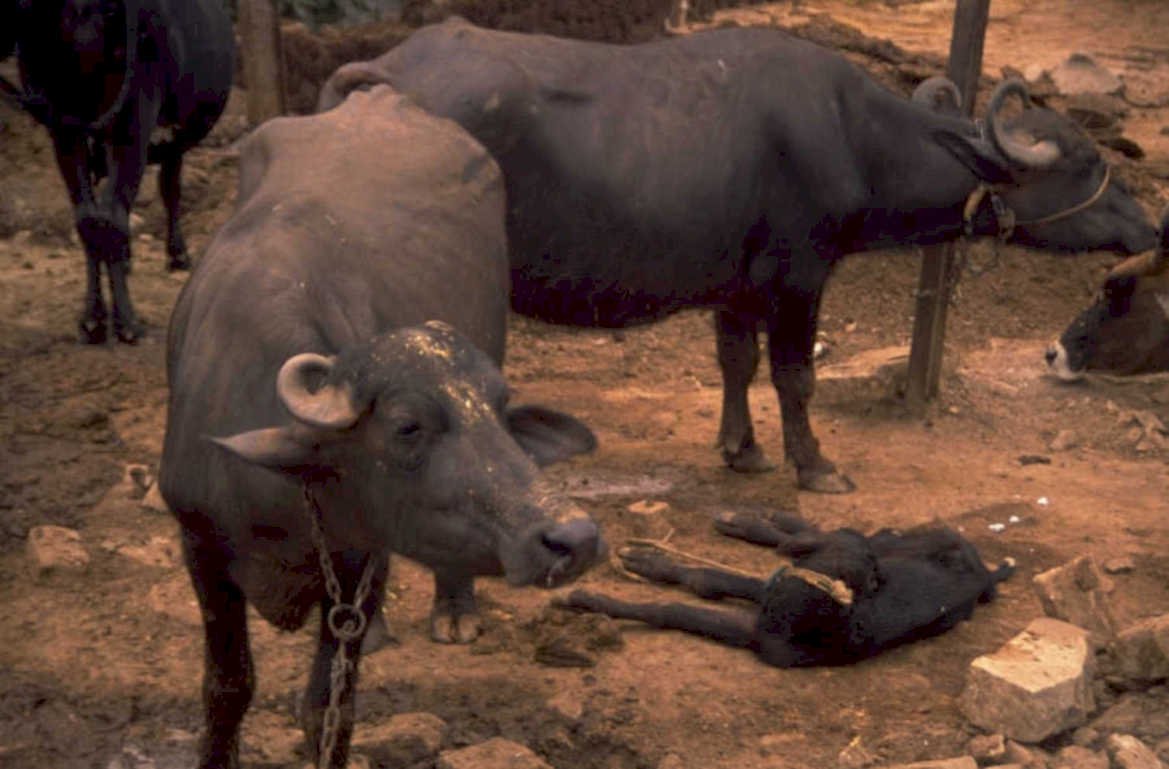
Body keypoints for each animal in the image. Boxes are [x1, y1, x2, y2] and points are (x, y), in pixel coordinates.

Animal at [159, 86, 604, 769]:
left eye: (500, 411)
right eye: (407, 427)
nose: (574, 538)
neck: (282, 487)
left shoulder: (362, 555)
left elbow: (328, 710)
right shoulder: (199, 547)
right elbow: (227, 688)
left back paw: (454, 610)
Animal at [318, 19, 1156, 494]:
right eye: (1083, 160)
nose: (1150, 225)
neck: (851, 133)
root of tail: (384, 72)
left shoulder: (736, 287)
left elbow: (735, 362)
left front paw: (741, 450)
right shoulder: (800, 278)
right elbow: (793, 374)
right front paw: (815, 466)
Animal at [560, 510, 1014, 667]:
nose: (880, 576)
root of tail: (984, 572)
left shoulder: (755, 630)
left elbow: (677, 608)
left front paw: (590, 599)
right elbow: (709, 582)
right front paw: (645, 563)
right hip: (889, 539)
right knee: (806, 528)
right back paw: (753, 522)